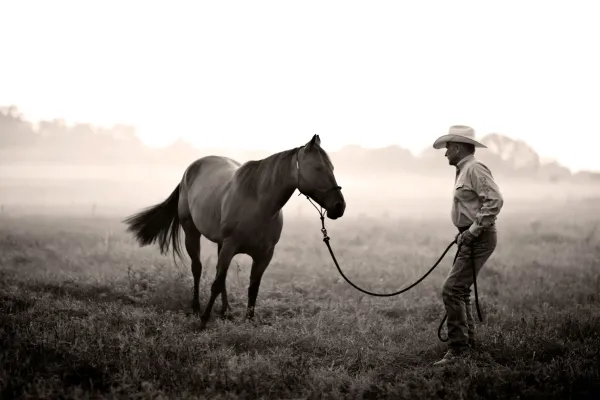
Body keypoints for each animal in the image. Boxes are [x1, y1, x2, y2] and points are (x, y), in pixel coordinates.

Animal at [122, 134, 346, 328]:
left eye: (332, 167)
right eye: (318, 168)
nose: (339, 206)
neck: (258, 204)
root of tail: (190, 170)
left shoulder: (264, 255)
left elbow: (252, 287)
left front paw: (249, 320)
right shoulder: (230, 246)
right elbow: (216, 282)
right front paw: (203, 321)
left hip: (221, 244)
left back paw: (225, 310)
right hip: (192, 233)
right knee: (198, 269)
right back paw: (196, 308)